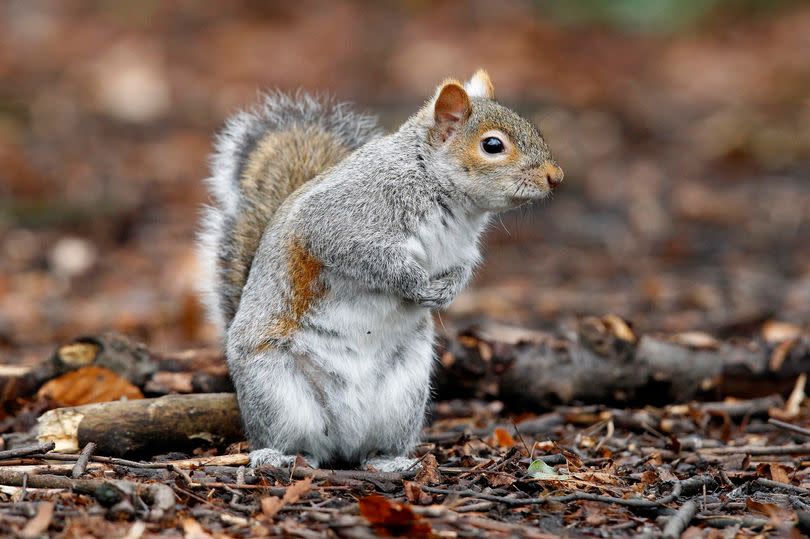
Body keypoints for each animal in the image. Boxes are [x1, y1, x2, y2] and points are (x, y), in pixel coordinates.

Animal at [199, 69, 560, 470]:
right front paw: (413, 282)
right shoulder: (342, 219)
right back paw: (279, 457)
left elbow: (461, 270)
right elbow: (368, 257)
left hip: (404, 395)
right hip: (277, 391)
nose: (555, 176)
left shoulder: (461, 251)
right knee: (295, 441)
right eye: (493, 145)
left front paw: (446, 291)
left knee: (369, 449)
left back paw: (388, 462)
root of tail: (343, 438)